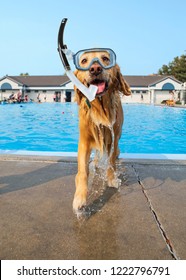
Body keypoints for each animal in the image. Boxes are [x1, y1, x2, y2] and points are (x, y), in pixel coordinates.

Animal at [72, 49, 131, 212]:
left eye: (105, 58)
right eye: (84, 61)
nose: (95, 69)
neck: (100, 108)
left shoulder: (114, 138)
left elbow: (111, 161)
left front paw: (111, 179)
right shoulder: (84, 141)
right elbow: (83, 171)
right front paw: (79, 197)